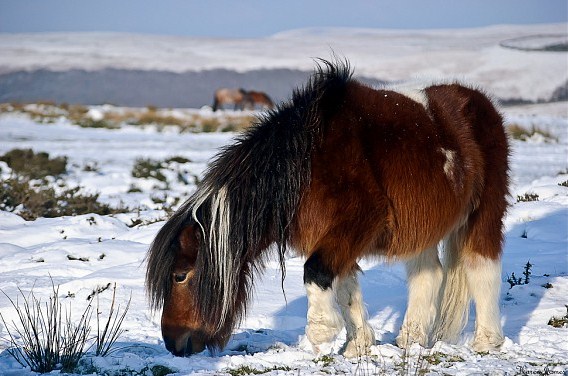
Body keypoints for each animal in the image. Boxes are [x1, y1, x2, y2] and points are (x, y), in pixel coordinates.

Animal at [144, 59, 508, 358]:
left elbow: (317, 272)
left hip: (485, 211)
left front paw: (321, 333)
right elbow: (345, 286)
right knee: (428, 274)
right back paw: (410, 339)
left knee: (482, 266)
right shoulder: (333, 233)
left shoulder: (359, 220)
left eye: (180, 275)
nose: (173, 343)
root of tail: (479, 101)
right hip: (422, 225)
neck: (307, 164)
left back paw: (486, 341)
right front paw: (358, 344)